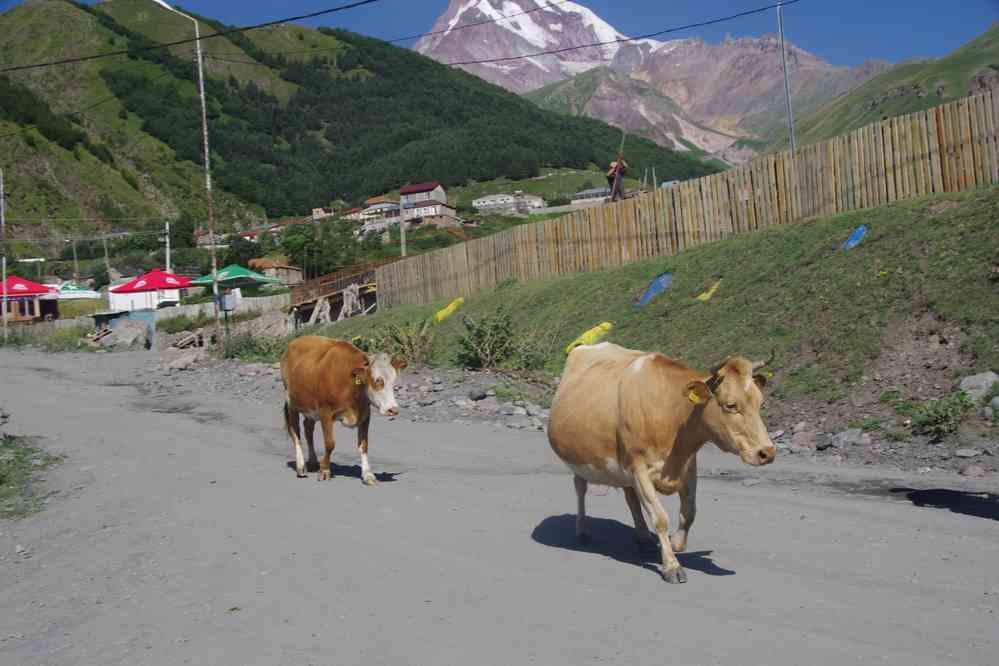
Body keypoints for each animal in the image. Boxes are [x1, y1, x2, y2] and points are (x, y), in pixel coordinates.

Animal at [278, 338, 406, 482]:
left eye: (393, 382)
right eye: (376, 380)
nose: (393, 410)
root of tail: (295, 342)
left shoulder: (365, 415)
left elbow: (364, 445)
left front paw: (367, 474)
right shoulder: (325, 412)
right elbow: (330, 443)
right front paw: (325, 470)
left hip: (311, 409)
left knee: (308, 428)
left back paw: (313, 462)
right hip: (292, 403)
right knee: (296, 433)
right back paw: (300, 467)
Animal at [548, 342, 772, 580]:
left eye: (760, 403)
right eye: (730, 405)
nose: (767, 452)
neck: (673, 415)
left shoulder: (688, 466)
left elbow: (689, 512)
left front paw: (675, 543)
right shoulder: (639, 468)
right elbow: (660, 518)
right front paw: (672, 566)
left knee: (630, 496)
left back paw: (643, 537)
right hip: (580, 460)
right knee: (580, 488)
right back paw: (582, 530)